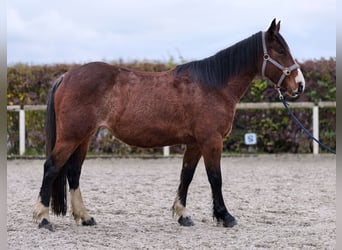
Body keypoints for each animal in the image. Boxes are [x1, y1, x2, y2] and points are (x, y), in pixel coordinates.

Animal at [32, 19, 304, 230]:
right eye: (280, 50)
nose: (299, 84)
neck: (213, 85)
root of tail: (67, 75)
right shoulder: (211, 140)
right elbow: (215, 178)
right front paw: (225, 216)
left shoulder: (195, 144)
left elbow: (187, 176)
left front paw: (183, 215)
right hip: (71, 136)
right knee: (51, 167)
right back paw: (43, 218)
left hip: (84, 137)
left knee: (73, 172)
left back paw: (85, 217)